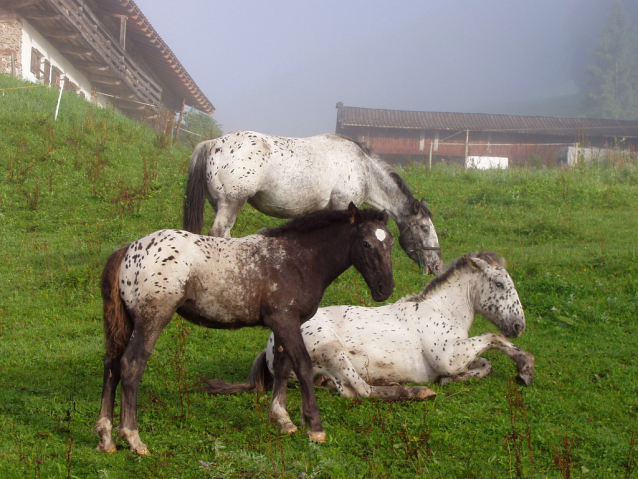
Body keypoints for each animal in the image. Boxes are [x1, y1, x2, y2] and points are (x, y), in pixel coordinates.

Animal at [95, 202, 396, 454]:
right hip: (152, 319)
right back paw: (133, 438)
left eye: (391, 242)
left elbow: (283, 367)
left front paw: (284, 420)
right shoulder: (286, 320)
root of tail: (129, 249)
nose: (385, 289)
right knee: (131, 365)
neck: (295, 260)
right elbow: (303, 366)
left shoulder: (284, 324)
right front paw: (315, 427)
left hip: (127, 323)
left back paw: (106, 438)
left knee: (111, 364)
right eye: (366, 243)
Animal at [205, 251, 536, 402]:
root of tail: (270, 347)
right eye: (499, 284)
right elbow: (493, 337)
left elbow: (485, 364)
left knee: (347, 389)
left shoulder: (459, 356)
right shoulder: (450, 356)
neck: (441, 311)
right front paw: (526, 368)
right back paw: (416, 392)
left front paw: (455, 379)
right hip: (333, 350)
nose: (519, 325)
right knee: (361, 391)